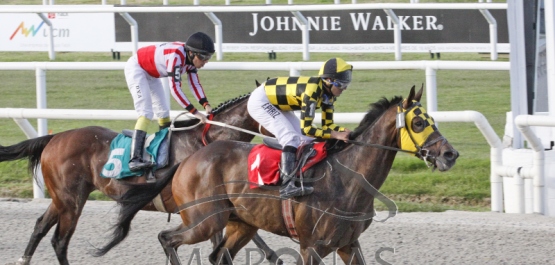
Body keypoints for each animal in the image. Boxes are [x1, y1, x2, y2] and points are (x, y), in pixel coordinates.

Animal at [0, 93, 280, 264]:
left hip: (61, 197)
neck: (207, 142)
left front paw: (273, 255)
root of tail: (55, 136)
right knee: (60, 240)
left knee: (40, 225)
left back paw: (23, 259)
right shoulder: (203, 205)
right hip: (71, 200)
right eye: (275, 111)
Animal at [100, 85, 460, 262]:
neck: (348, 179)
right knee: (168, 239)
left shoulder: (349, 243)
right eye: (418, 122)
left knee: (218, 256)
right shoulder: (312, 246)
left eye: (431, 118)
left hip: (241, 224)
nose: (450, 154)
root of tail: (189, 160)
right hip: (204, 220)